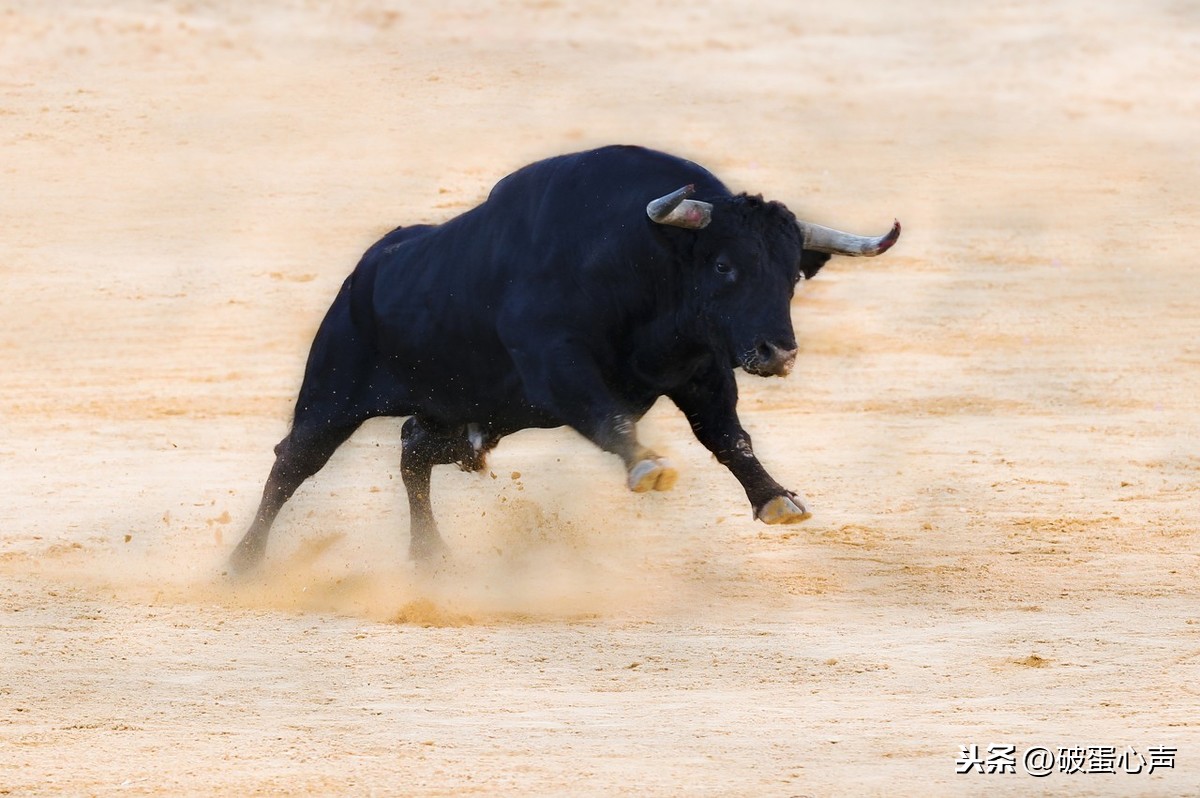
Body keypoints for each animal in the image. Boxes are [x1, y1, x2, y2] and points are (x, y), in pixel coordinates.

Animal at [226, 141, 902, 566]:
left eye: (792, 275)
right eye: (722, 264)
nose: (776, 352)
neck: (638, 260)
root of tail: (365, 270)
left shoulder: (702, 371)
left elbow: (729, 437)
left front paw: (777, 499)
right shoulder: (556, 365)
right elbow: (611, 417)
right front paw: (648, 467)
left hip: (471, 418)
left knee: (414, 449)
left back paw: (432, 556)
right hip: (332, 395)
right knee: (293, 462)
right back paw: (244, 562)